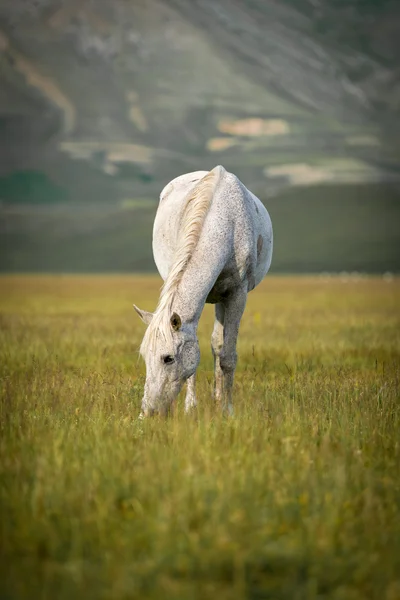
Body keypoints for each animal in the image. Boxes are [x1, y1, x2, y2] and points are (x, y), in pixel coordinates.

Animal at [134, 165, 272, 418]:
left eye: (168, 359)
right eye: (145, 357)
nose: (147, 413)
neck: (223, 223)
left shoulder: (237, 295)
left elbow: (227, 356)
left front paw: (228, 410)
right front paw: (190, 408)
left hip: (221, 299)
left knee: (218, 346)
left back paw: (218, 399)